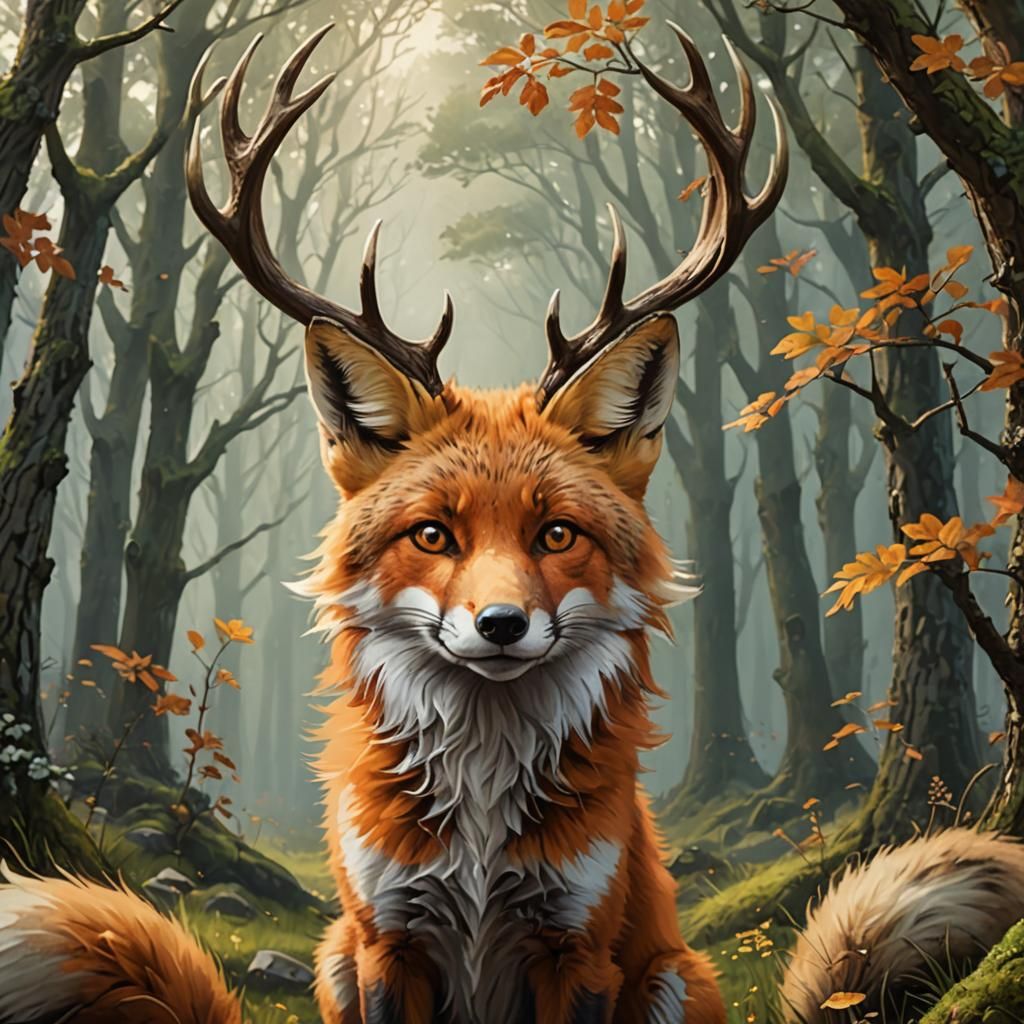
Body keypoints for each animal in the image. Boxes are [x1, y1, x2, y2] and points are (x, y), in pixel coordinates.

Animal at [4, 21, 1024, 1024]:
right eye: (433, 535)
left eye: (557, 534)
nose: (500, 626)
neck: (481, 835)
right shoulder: (384, 940)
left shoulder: (580, 944)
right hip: (331, 957)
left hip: (671, 977)